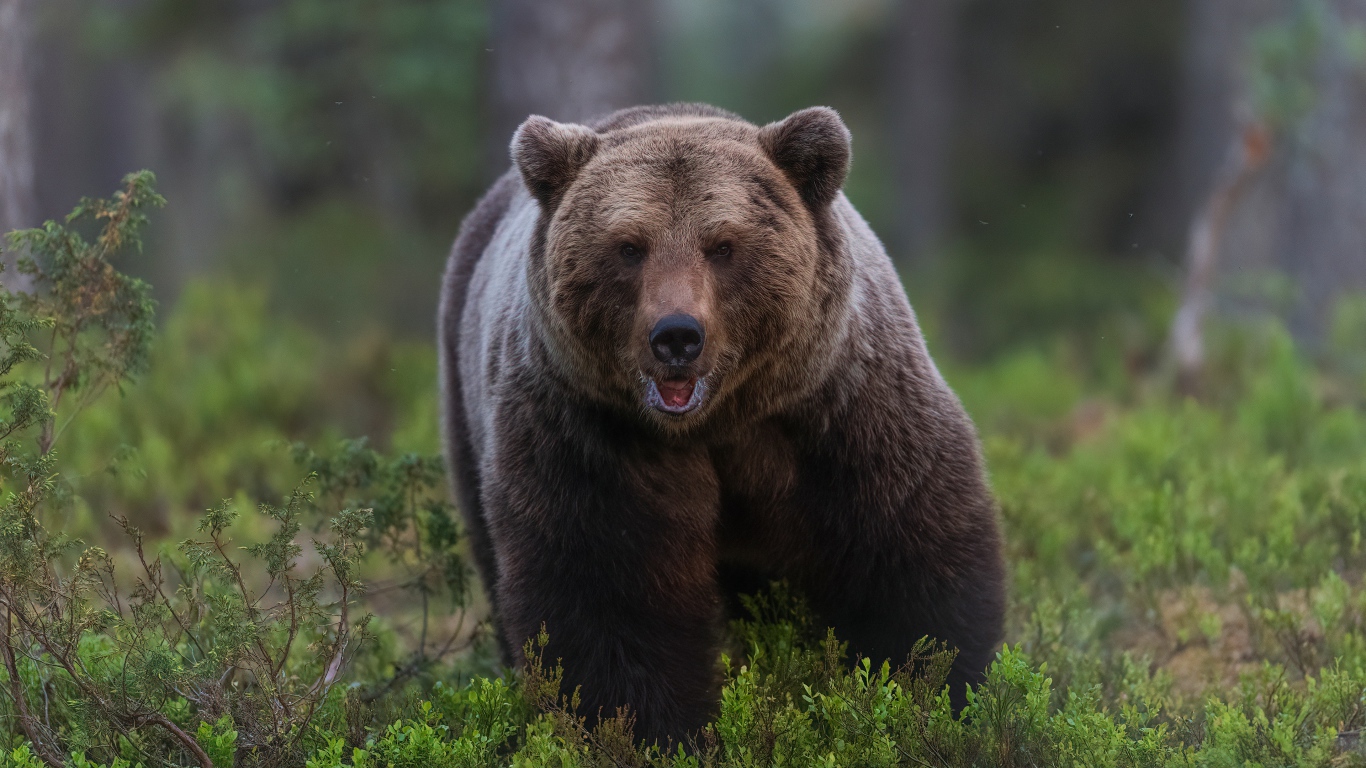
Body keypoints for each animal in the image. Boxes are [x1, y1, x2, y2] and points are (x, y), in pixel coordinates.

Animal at [442, 101, 1010, 743]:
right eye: (629, 246)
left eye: (723, 245)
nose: (676, 336)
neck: (719, 421)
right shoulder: (593, 435)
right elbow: (610, 598)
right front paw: (655, 729)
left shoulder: (843, 413)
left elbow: (907, 562)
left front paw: (936, 694)